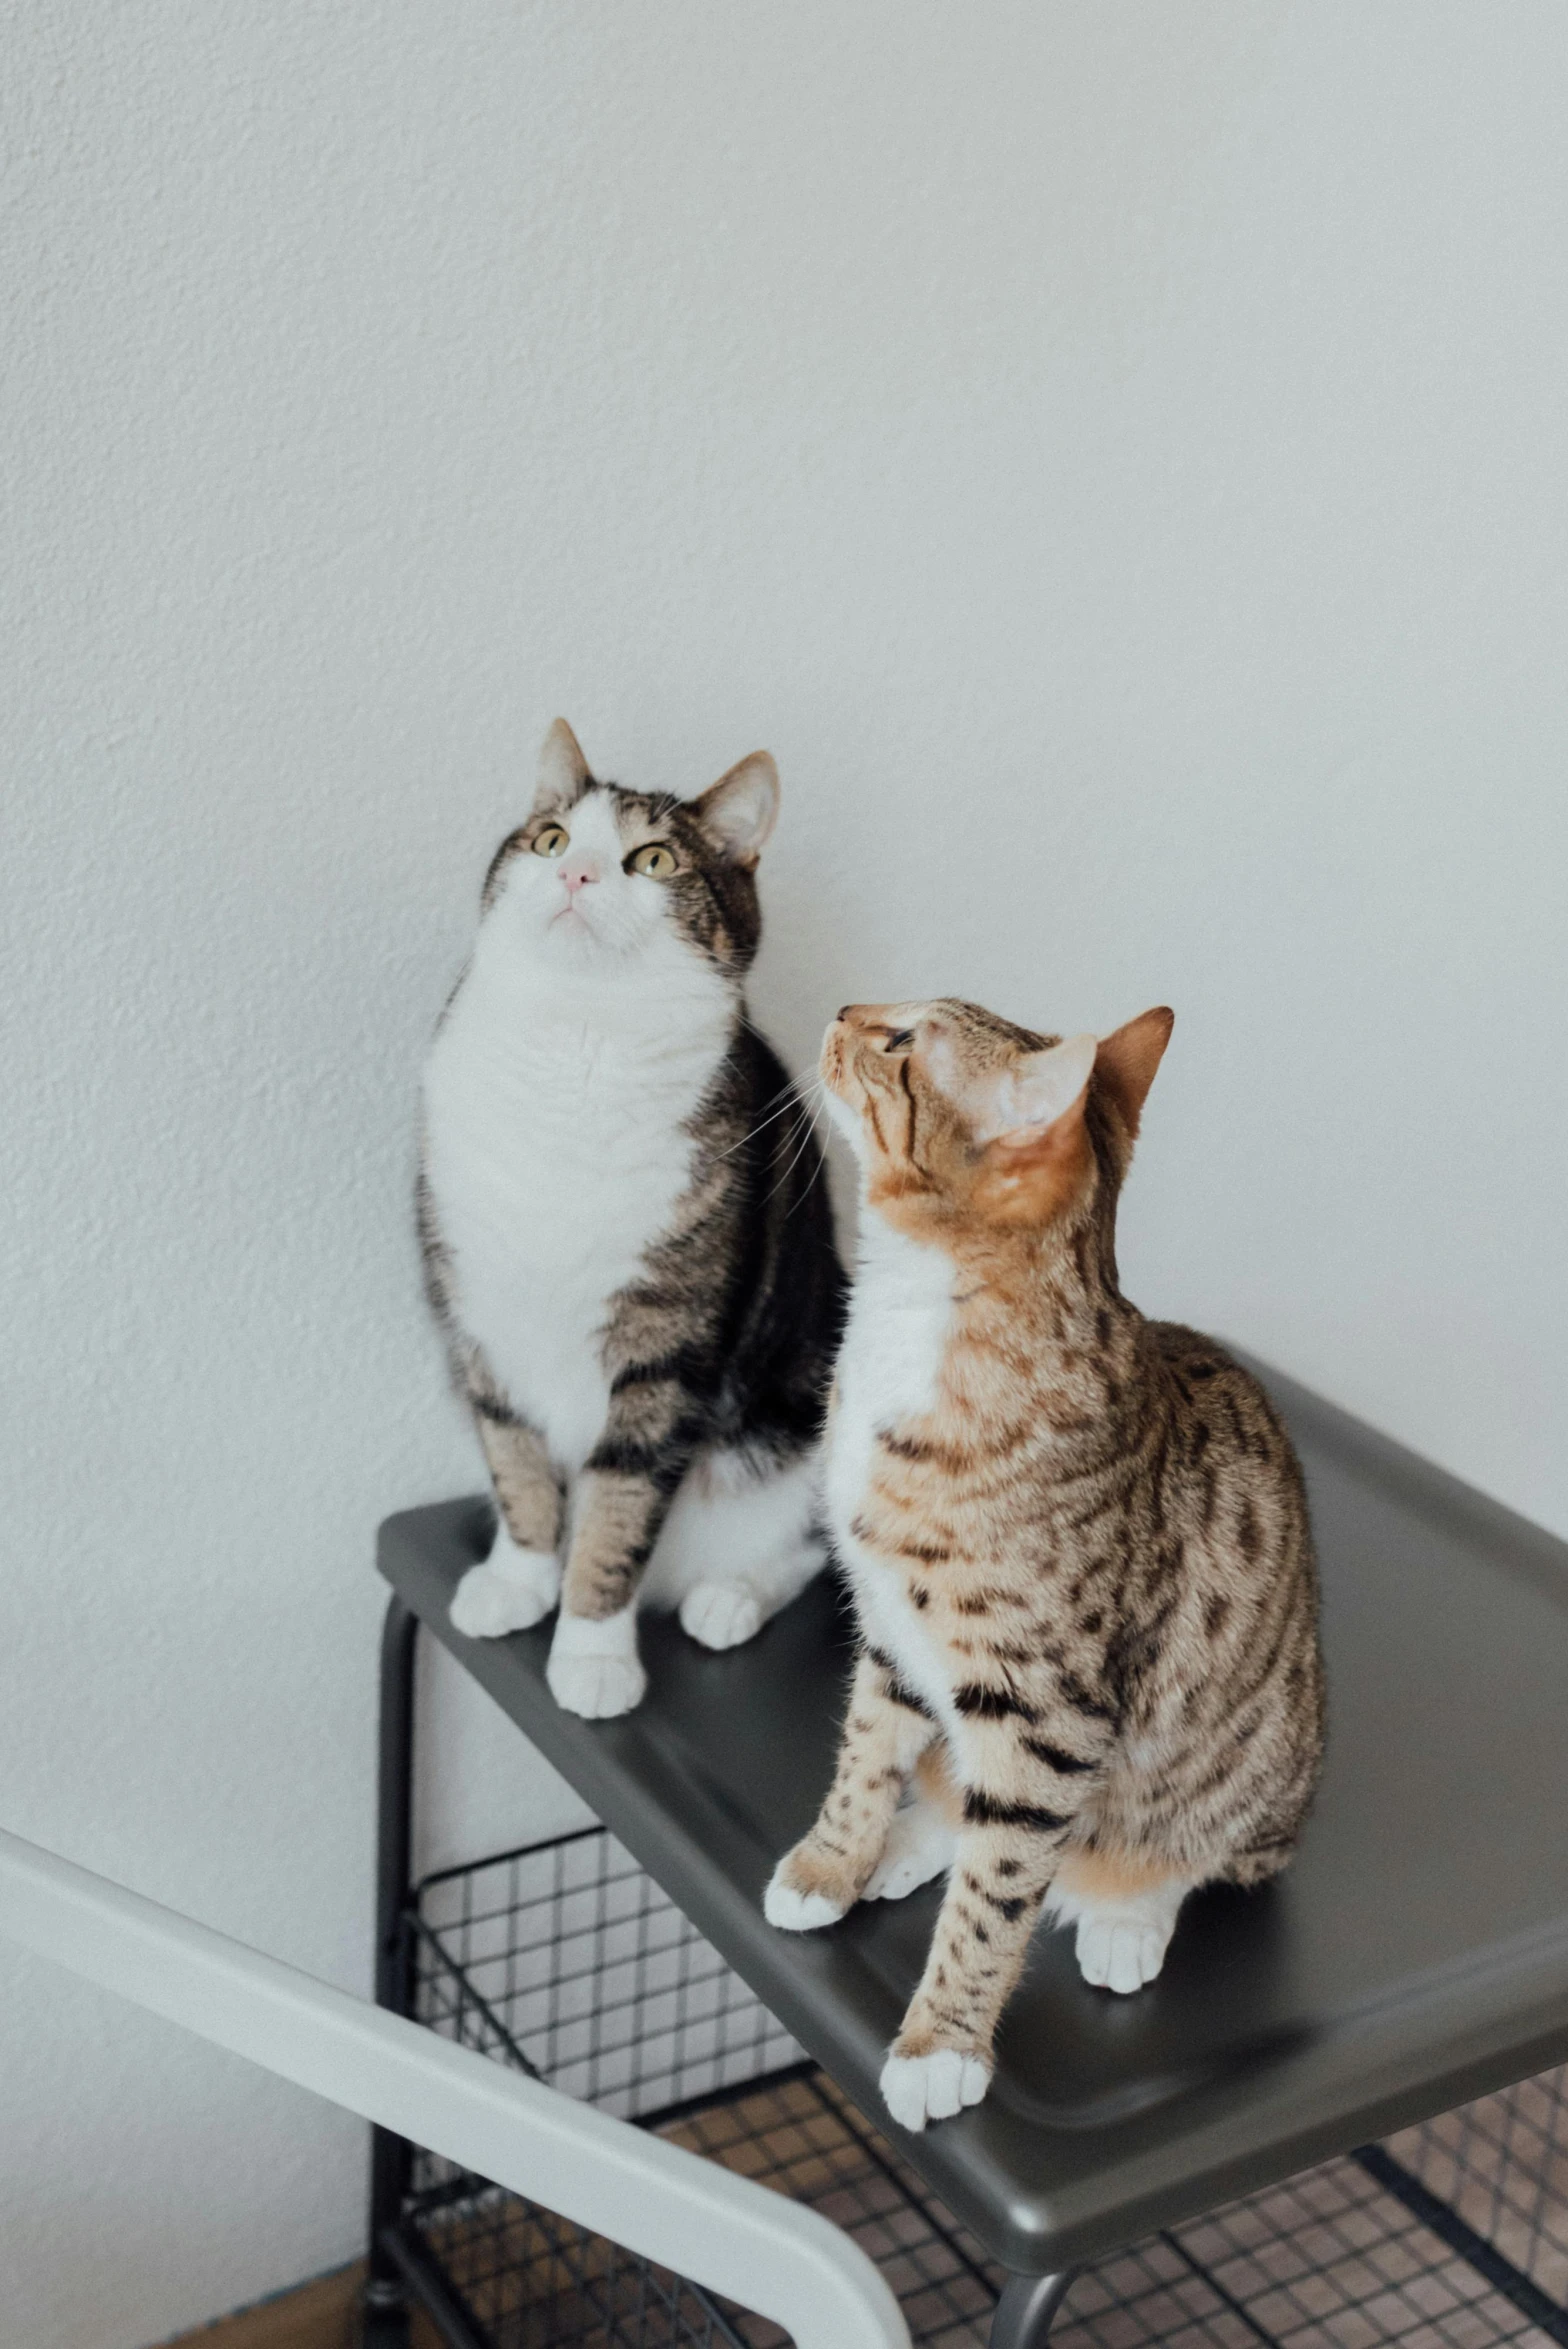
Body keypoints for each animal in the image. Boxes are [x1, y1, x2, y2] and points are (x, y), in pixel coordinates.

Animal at [760, 1000, 1323, 2142]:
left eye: (902, 1045)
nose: (843, 1012)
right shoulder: (893, 1632)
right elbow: (865, 1755)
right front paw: (832, 1861)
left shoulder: (1043, 1710)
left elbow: (996, 1894)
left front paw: (938, 2047)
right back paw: (911, 1844)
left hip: (1257, 1777)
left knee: (1182, 1854)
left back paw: (1124, 1914)